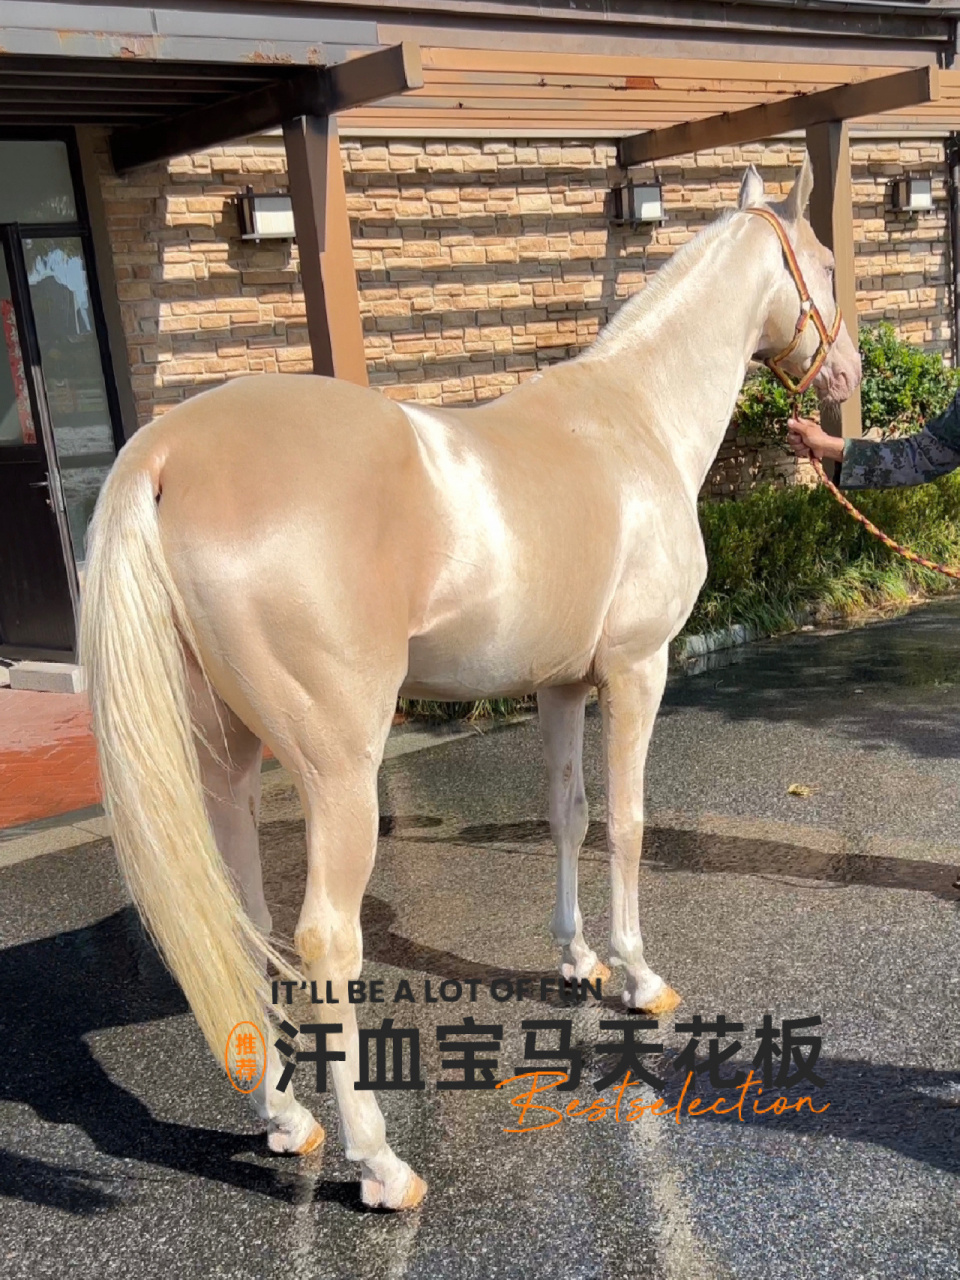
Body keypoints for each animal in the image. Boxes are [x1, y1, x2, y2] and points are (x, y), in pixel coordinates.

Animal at [81, 157, 860, 1211]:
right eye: (822, 263)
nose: (849, 376)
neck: (634, 421)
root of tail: (169, 454)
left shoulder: (563, 685)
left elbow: (569, 815)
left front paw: (577, 961)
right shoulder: (637, 669)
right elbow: (629, 823)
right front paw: (637, 976)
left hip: (227, 761)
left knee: (244, 922)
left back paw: (286, 1119)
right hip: (338, 771)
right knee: (324, 941)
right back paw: (378, 1162)